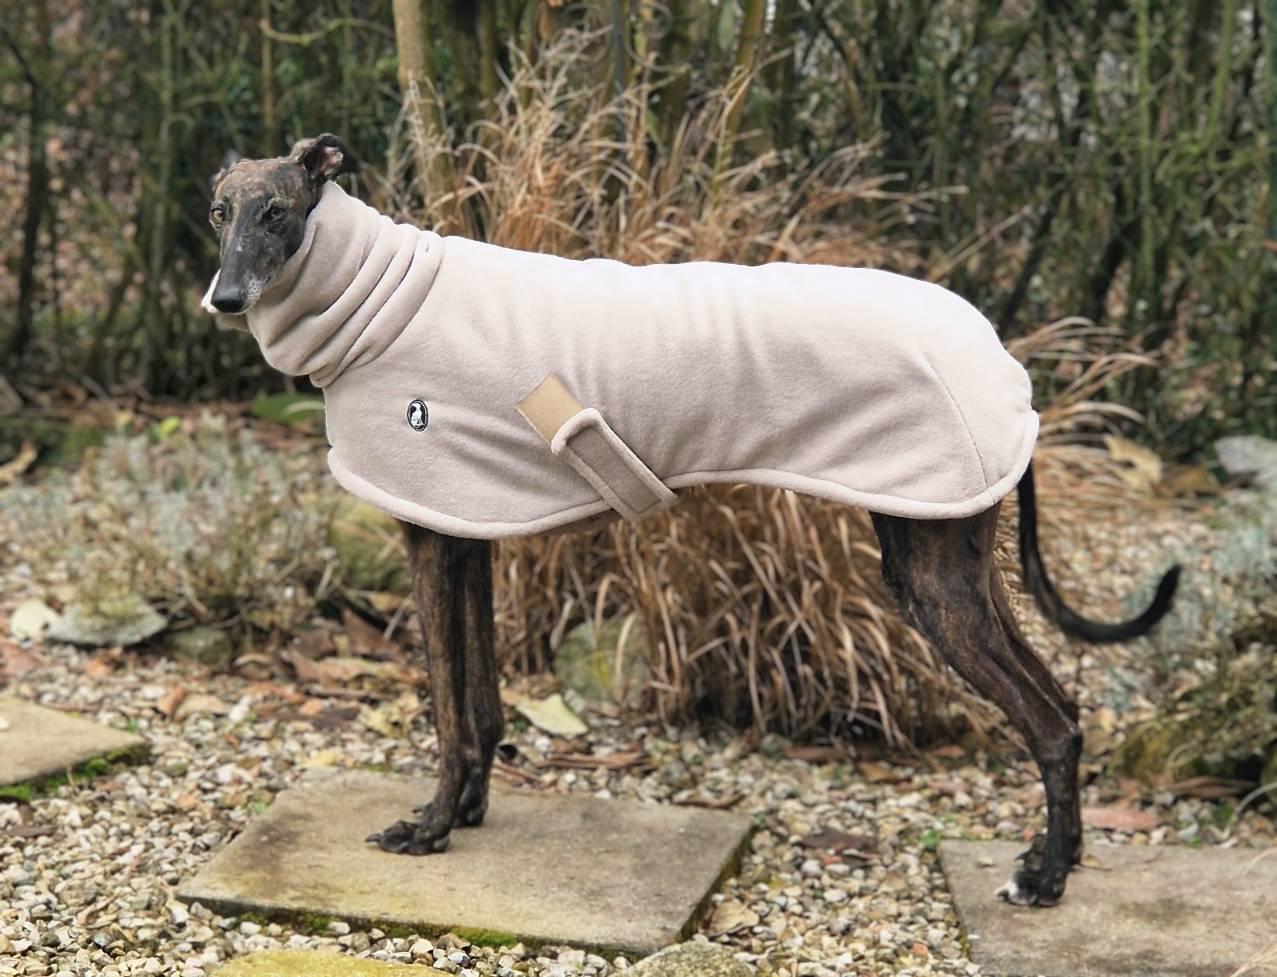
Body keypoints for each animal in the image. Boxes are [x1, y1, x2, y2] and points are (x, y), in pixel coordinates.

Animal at [204, 134, 1179, 908]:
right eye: (219, 211)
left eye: (278, 213)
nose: (223, 300)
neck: (381, 295)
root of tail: (1006, 361)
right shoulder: (460, 528)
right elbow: (479, 704)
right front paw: (470, 812)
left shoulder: (430, 539)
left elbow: (448, 711)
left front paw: (432, 826)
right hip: (951, 559)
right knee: (1064, 707)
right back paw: (1058, 859)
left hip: (933, 571)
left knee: (1048, 720)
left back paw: (1044, 879)